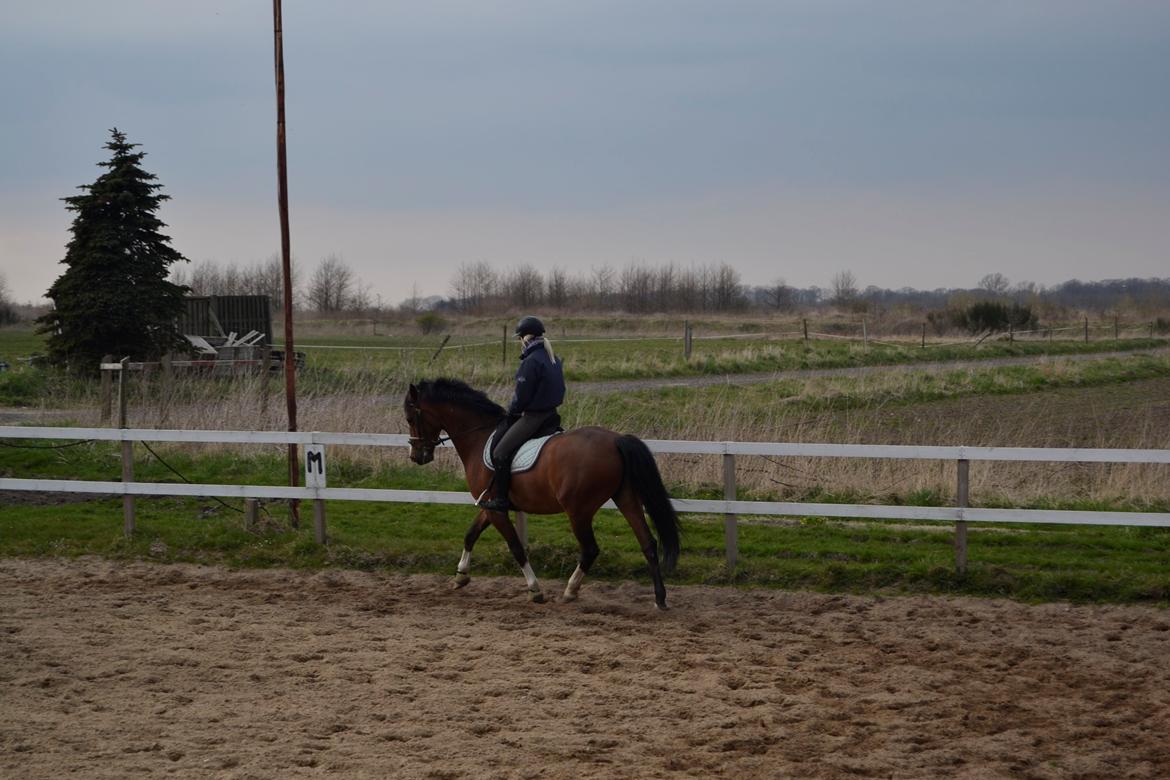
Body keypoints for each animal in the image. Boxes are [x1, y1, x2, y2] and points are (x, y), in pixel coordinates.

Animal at [404, 378, 683, 608]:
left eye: (410, 418)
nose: (417, 456)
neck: (479, 436)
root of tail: (616, 440)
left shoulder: (496, 510)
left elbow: (516, 547)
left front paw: (535, 590)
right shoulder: (490, 505)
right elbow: (470, 534)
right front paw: (461, 576)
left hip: (579, 510)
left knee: (590, 549)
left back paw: (570, 591)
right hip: (626, 498)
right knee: (648, 542)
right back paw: (660, 598)